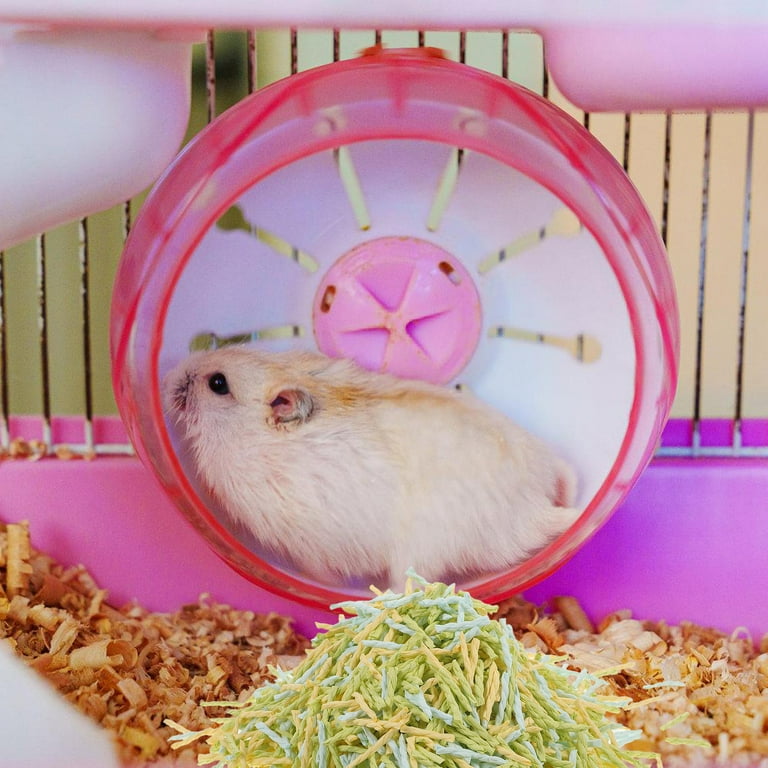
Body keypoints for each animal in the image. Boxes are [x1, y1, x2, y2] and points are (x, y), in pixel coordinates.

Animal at [162, 346, 580, 589]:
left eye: (218, 383)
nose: (167, 378)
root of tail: (534, 509)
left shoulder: (303, 542)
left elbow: (316, 572)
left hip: (420, 553)